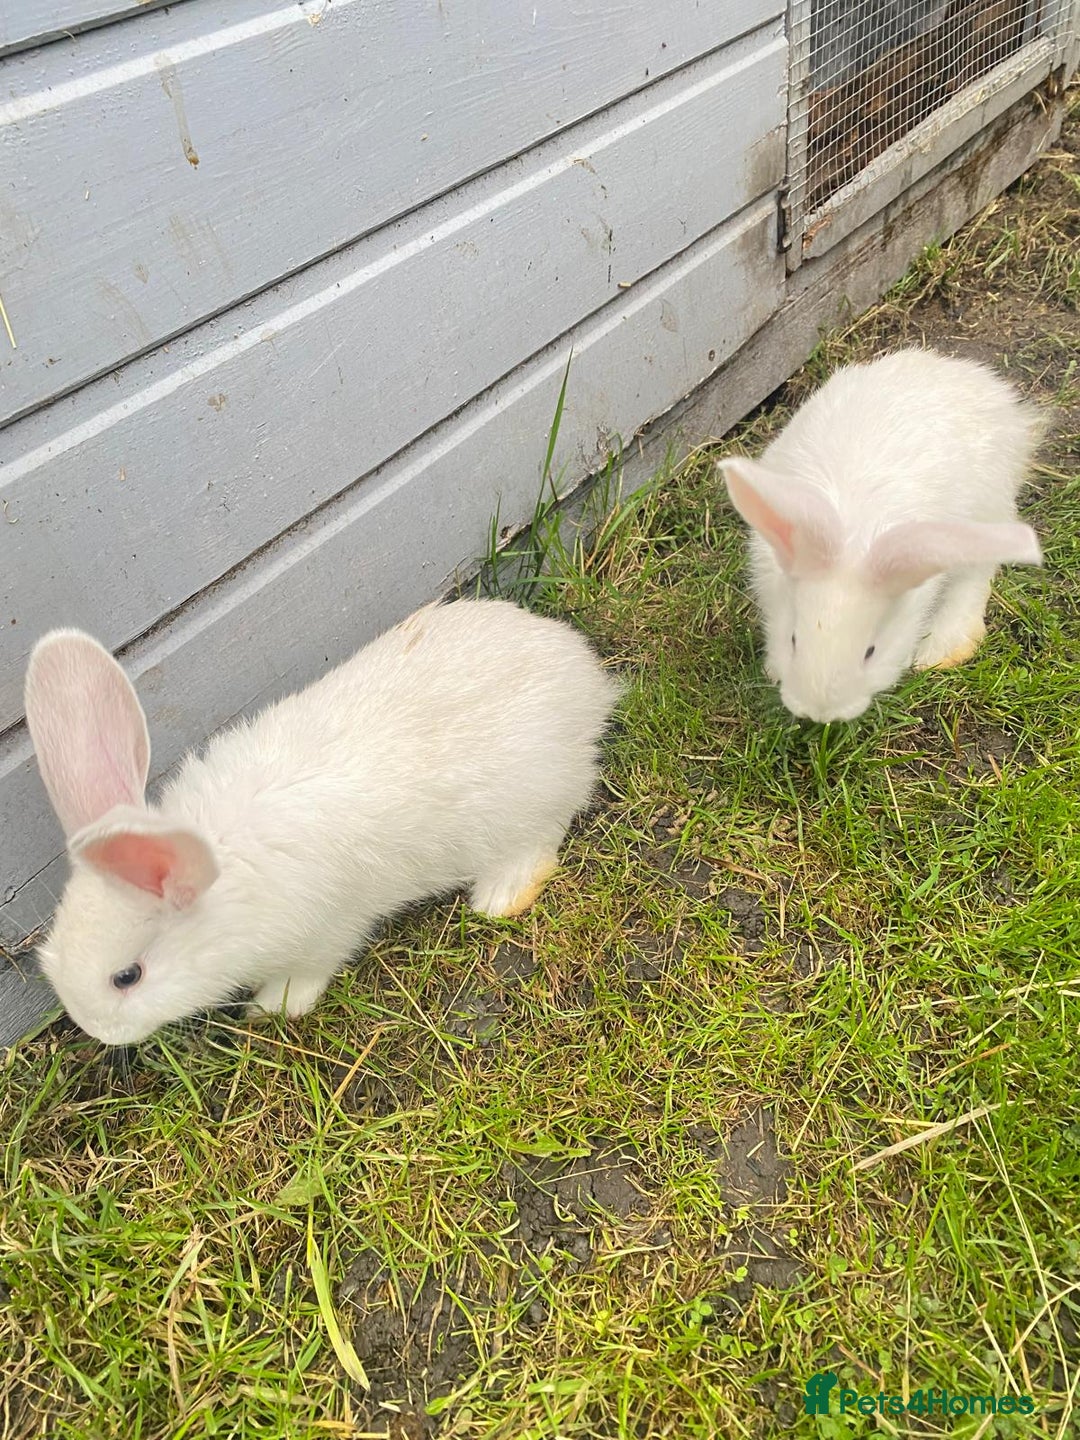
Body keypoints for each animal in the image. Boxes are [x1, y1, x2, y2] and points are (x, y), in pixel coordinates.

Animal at [23, 598, 619, 1046]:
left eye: (126, 977)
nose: (96, 1030)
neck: (221, 870)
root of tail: (587, 679)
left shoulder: (322, 933)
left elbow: (308, 974)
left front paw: (271, 1008)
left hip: (527, 804)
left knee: (542, 837)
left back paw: (500, 897)